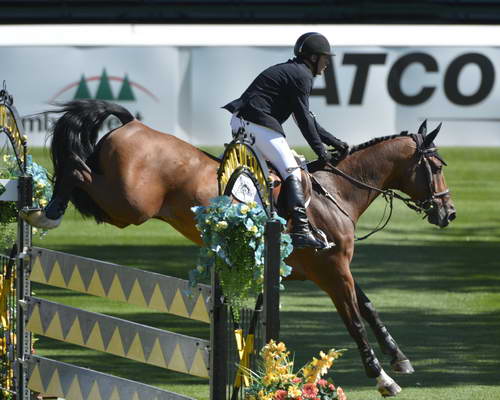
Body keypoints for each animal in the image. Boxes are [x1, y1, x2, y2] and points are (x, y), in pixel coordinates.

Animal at [21, 101, 456, 396]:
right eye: (435, 167)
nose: (448, 213)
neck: (338, 193)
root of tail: (131, 124)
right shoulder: (331, 271)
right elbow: (353, 320)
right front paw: (382, 377)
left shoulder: (335, 269)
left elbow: (367, 307)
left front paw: (399, 358)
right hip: (128, 205)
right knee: (76, 172)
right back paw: (43, 211)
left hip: (122, 206)